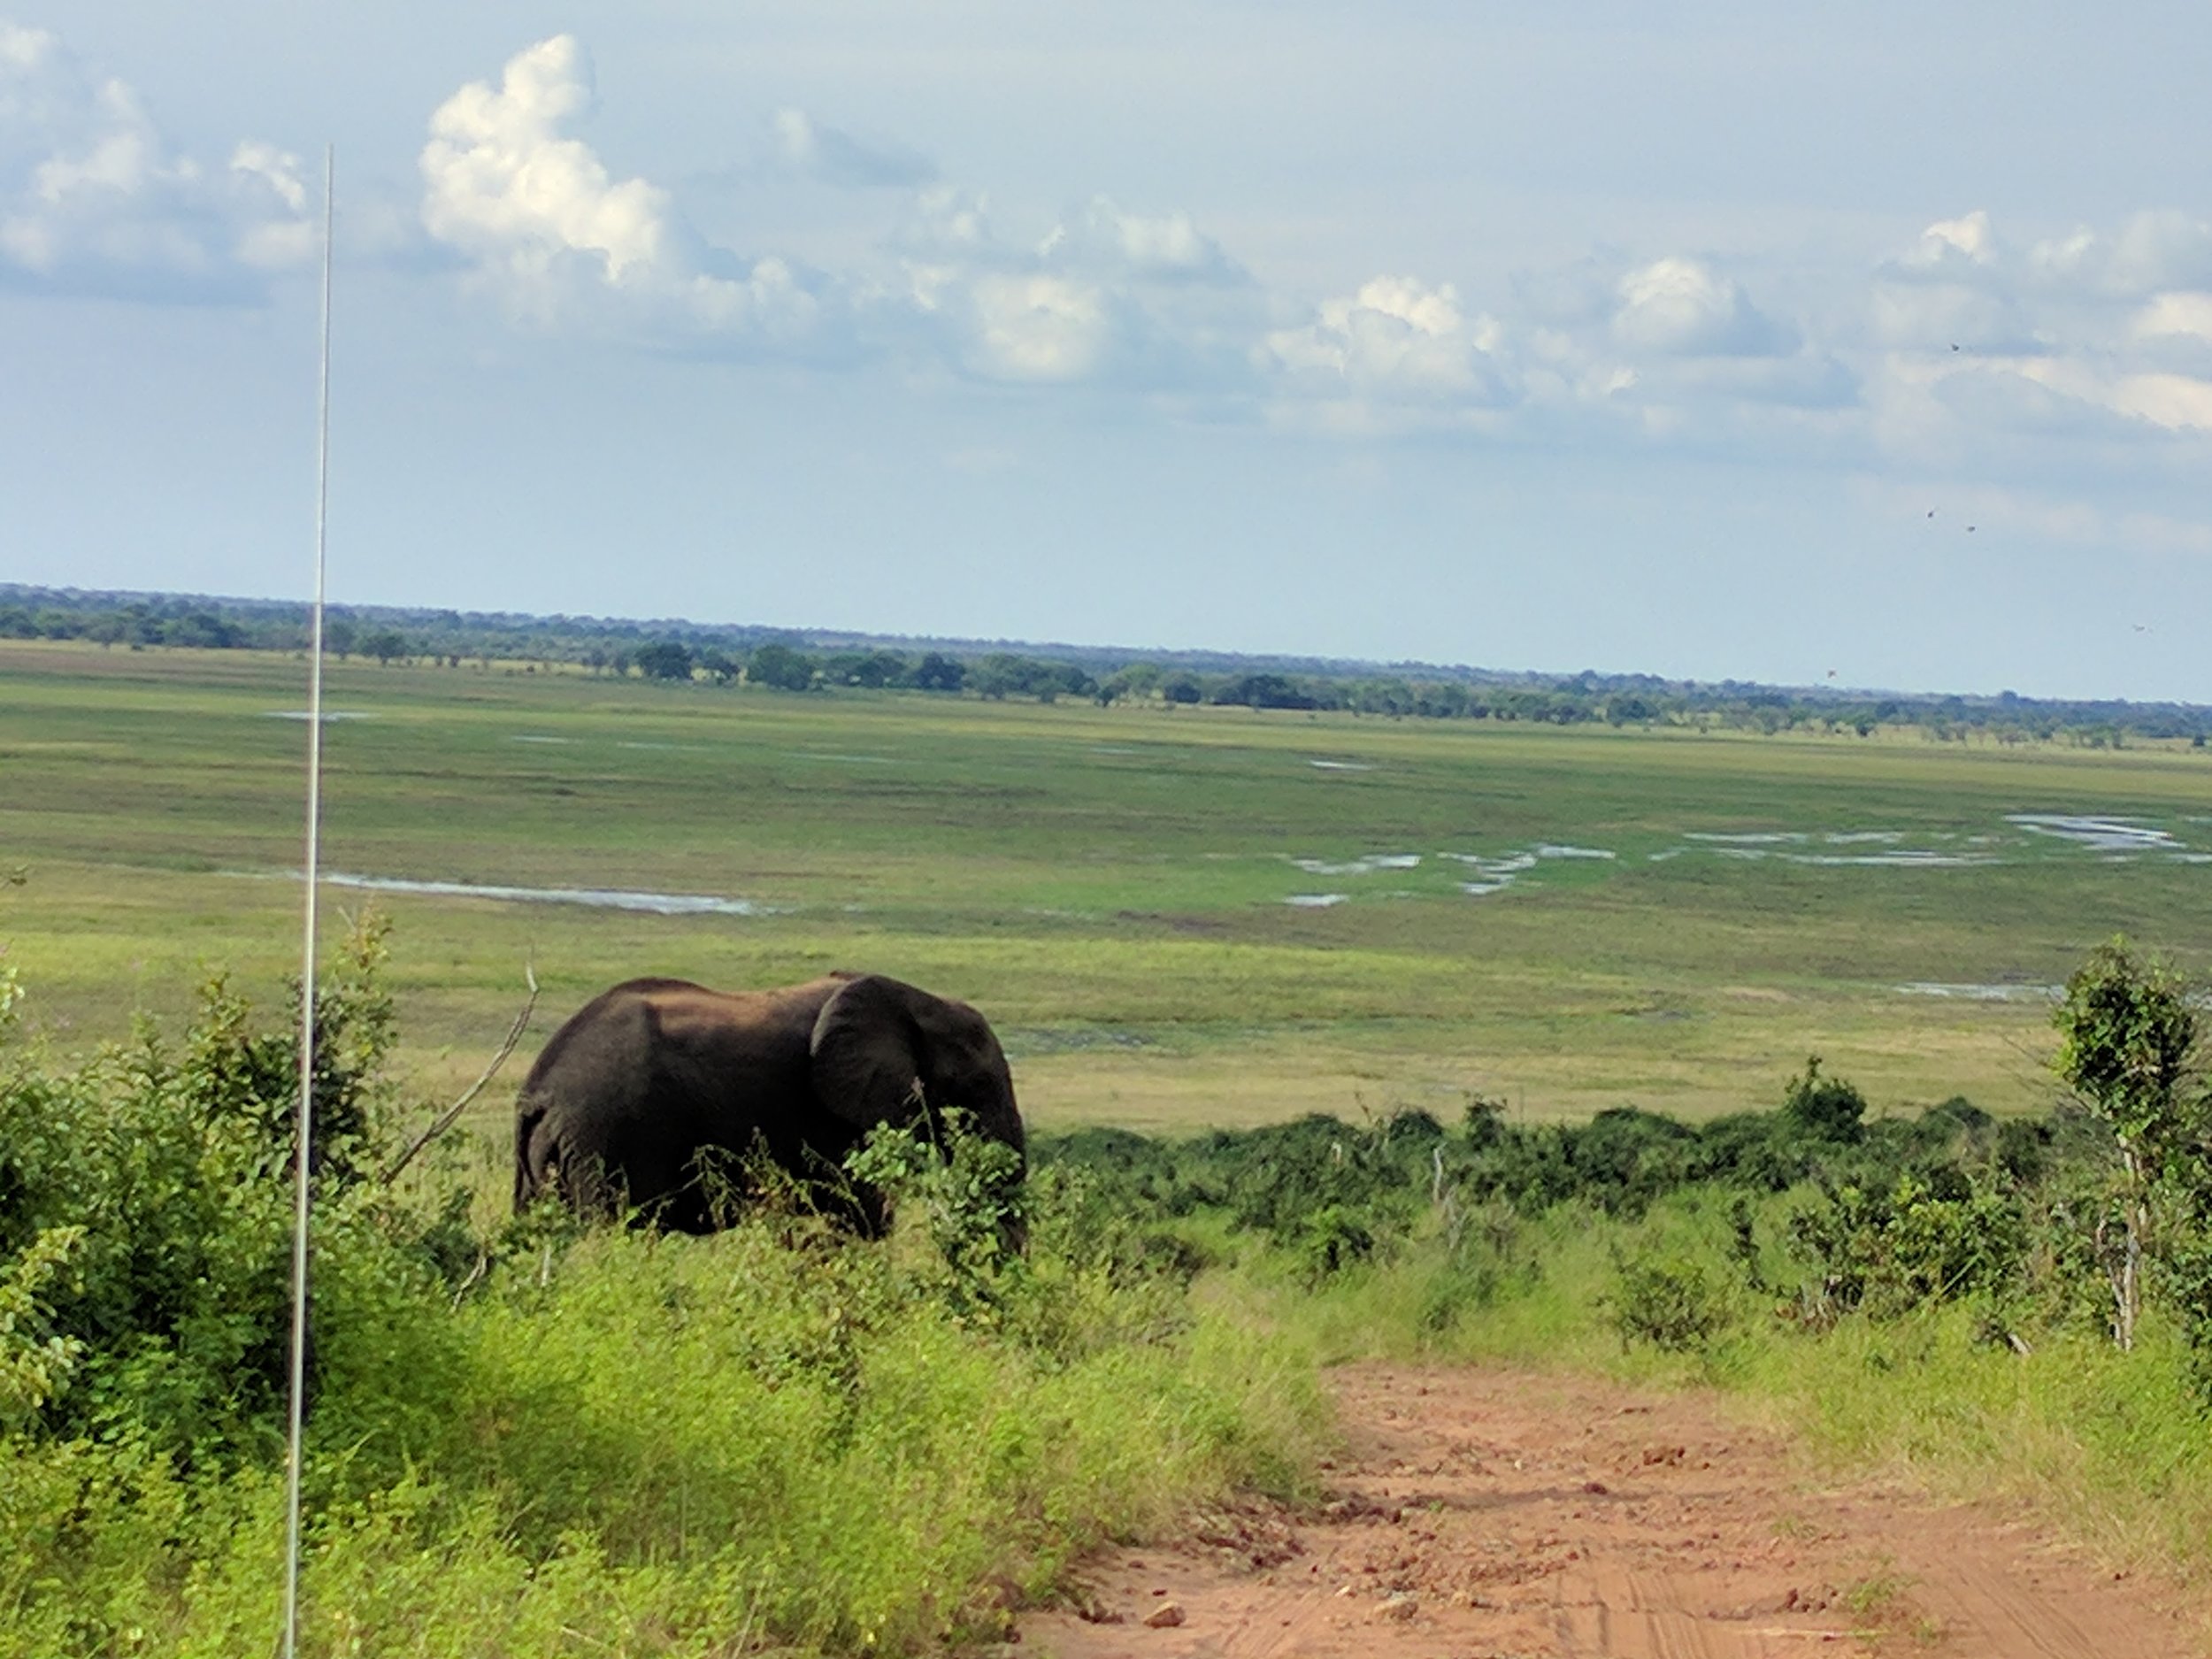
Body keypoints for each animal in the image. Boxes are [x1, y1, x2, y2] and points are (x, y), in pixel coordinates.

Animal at [512, 971, 1026, 1237]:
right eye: (977, 1085)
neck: (917, 998)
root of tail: (537, 1093)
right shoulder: (832, 1117)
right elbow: (861, 1216)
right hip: (604, 1138)